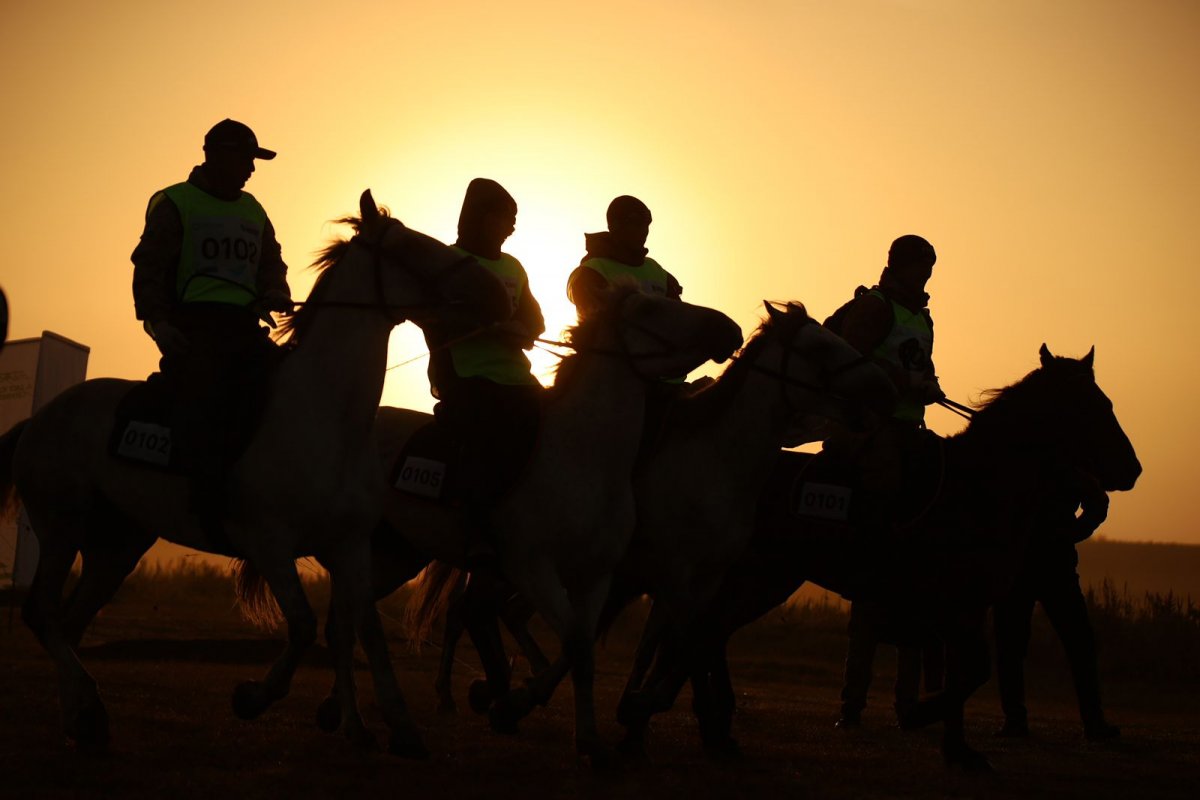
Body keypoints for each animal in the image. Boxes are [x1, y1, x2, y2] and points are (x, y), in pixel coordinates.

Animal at [0, 190, 511, 753]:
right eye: (415, 249)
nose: (498, 294)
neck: (327, 418)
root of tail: (40, 418)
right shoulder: (269, 543)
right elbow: (305, 625)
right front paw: (252, 698)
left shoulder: (350, 545)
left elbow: (368, 632)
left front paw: (401, 726)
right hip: (61, 527)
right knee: (42, 613)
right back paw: (86, 709)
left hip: (118, 544)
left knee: (69, 621)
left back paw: (83, 717)